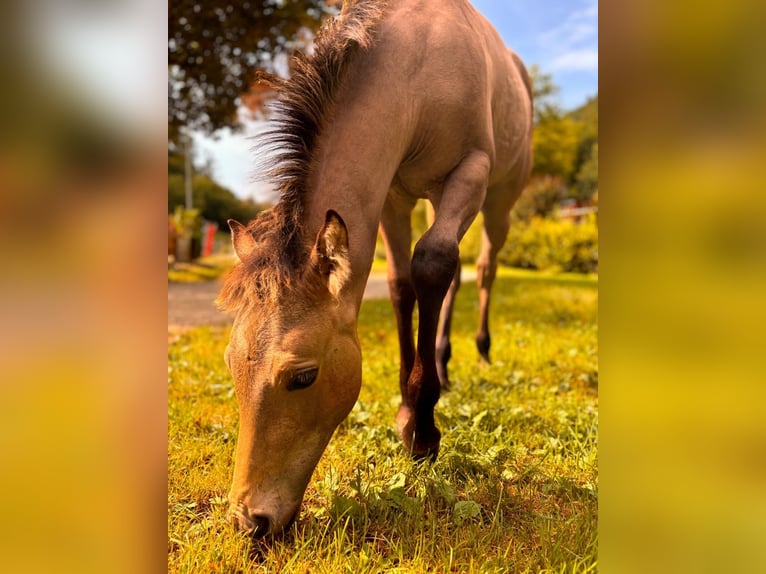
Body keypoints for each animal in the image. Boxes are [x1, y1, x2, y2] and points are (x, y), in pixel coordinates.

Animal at [216, 0, 536, 540]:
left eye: (303, 376)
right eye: (232, 364)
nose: (249, 521)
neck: (420, 58)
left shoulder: (470, 172)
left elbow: (432, 265)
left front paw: (422, 432)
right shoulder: (394, 197)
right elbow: (403, 284)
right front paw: (410, 404)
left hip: (500, 199)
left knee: (483, 266)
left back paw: (480, 351)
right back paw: (443, 361)